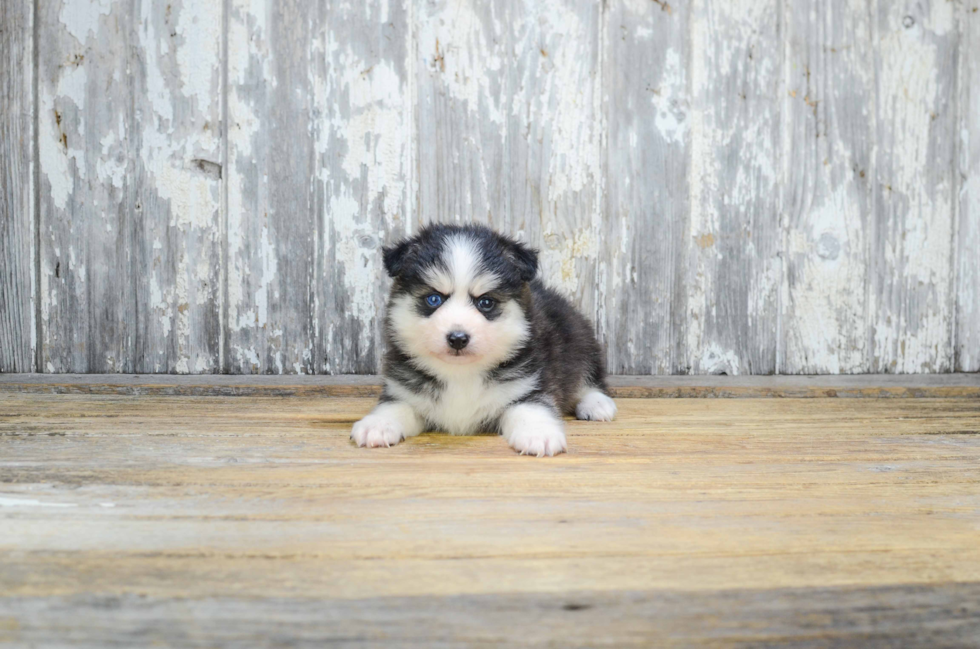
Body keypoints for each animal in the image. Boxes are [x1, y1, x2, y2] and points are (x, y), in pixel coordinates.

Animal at [348, 223, 616, 456]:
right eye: (434, 299)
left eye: (485, 302)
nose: (457, 338)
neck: (460, 376)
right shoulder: (405, 391)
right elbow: (393, 407)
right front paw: (377, 425)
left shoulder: (528, 387)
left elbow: (531, 409)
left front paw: (538, 434)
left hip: (579, 339)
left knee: (588, 379)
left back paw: (596, 403)